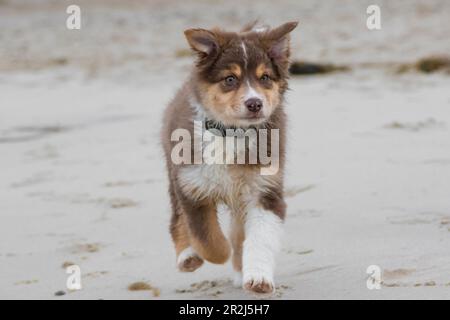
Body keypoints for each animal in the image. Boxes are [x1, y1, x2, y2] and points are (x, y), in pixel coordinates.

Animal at [160, 20, 298, 296]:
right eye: (230, 79)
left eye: (265, 77)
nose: (255, 103)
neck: (232, 133)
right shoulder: (191, 186)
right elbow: (206, 236)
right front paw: (218, 252)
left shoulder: (265, 191)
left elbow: (259, 239)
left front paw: (258, 278)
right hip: (173, 173)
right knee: (177, 218)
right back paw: (187, 256)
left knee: (238, 232)